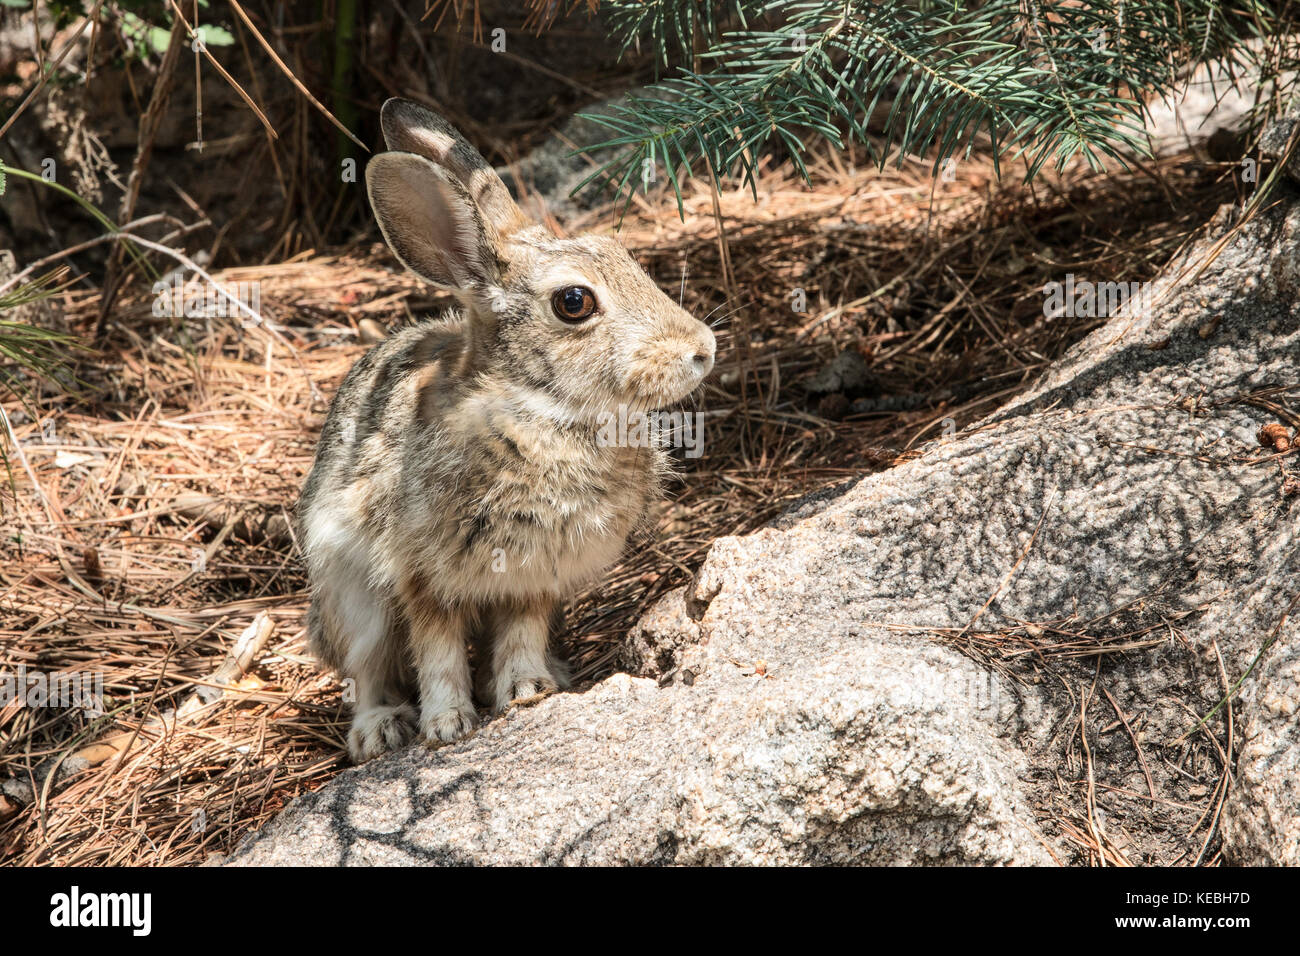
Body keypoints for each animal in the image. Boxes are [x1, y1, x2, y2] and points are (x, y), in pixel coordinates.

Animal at [297, 100, 717, 764]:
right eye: (574, 302)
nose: (703, 349)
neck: (537, 407)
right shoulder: (423, 574)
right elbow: (437, 650)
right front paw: (448, 725)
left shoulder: (534, 575)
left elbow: (521, 632)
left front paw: (527, 690)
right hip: (349, 596)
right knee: (367, 668)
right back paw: (380, 730)